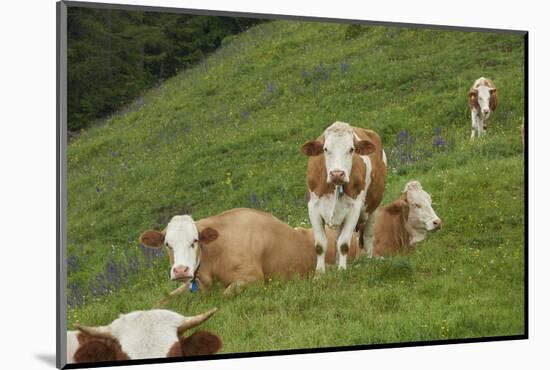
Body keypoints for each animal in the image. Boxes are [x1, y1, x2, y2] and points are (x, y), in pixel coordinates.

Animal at [139, 208, 362, 294]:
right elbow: (163, 300)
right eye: (167, 244)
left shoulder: (254, 279)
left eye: (195, 241)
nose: (181, 270)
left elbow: (226, 293)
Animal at [302, 120, 388, 272]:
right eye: (325, 149)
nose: (337, 174)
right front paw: (320, 272)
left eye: (351, 149)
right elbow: (320, 245)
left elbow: (343, 244)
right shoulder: (313, 207)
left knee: (368, 235)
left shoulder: (354, 209)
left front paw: (342, 270)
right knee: (337, 238)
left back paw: (369, 261)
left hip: (374, 208)